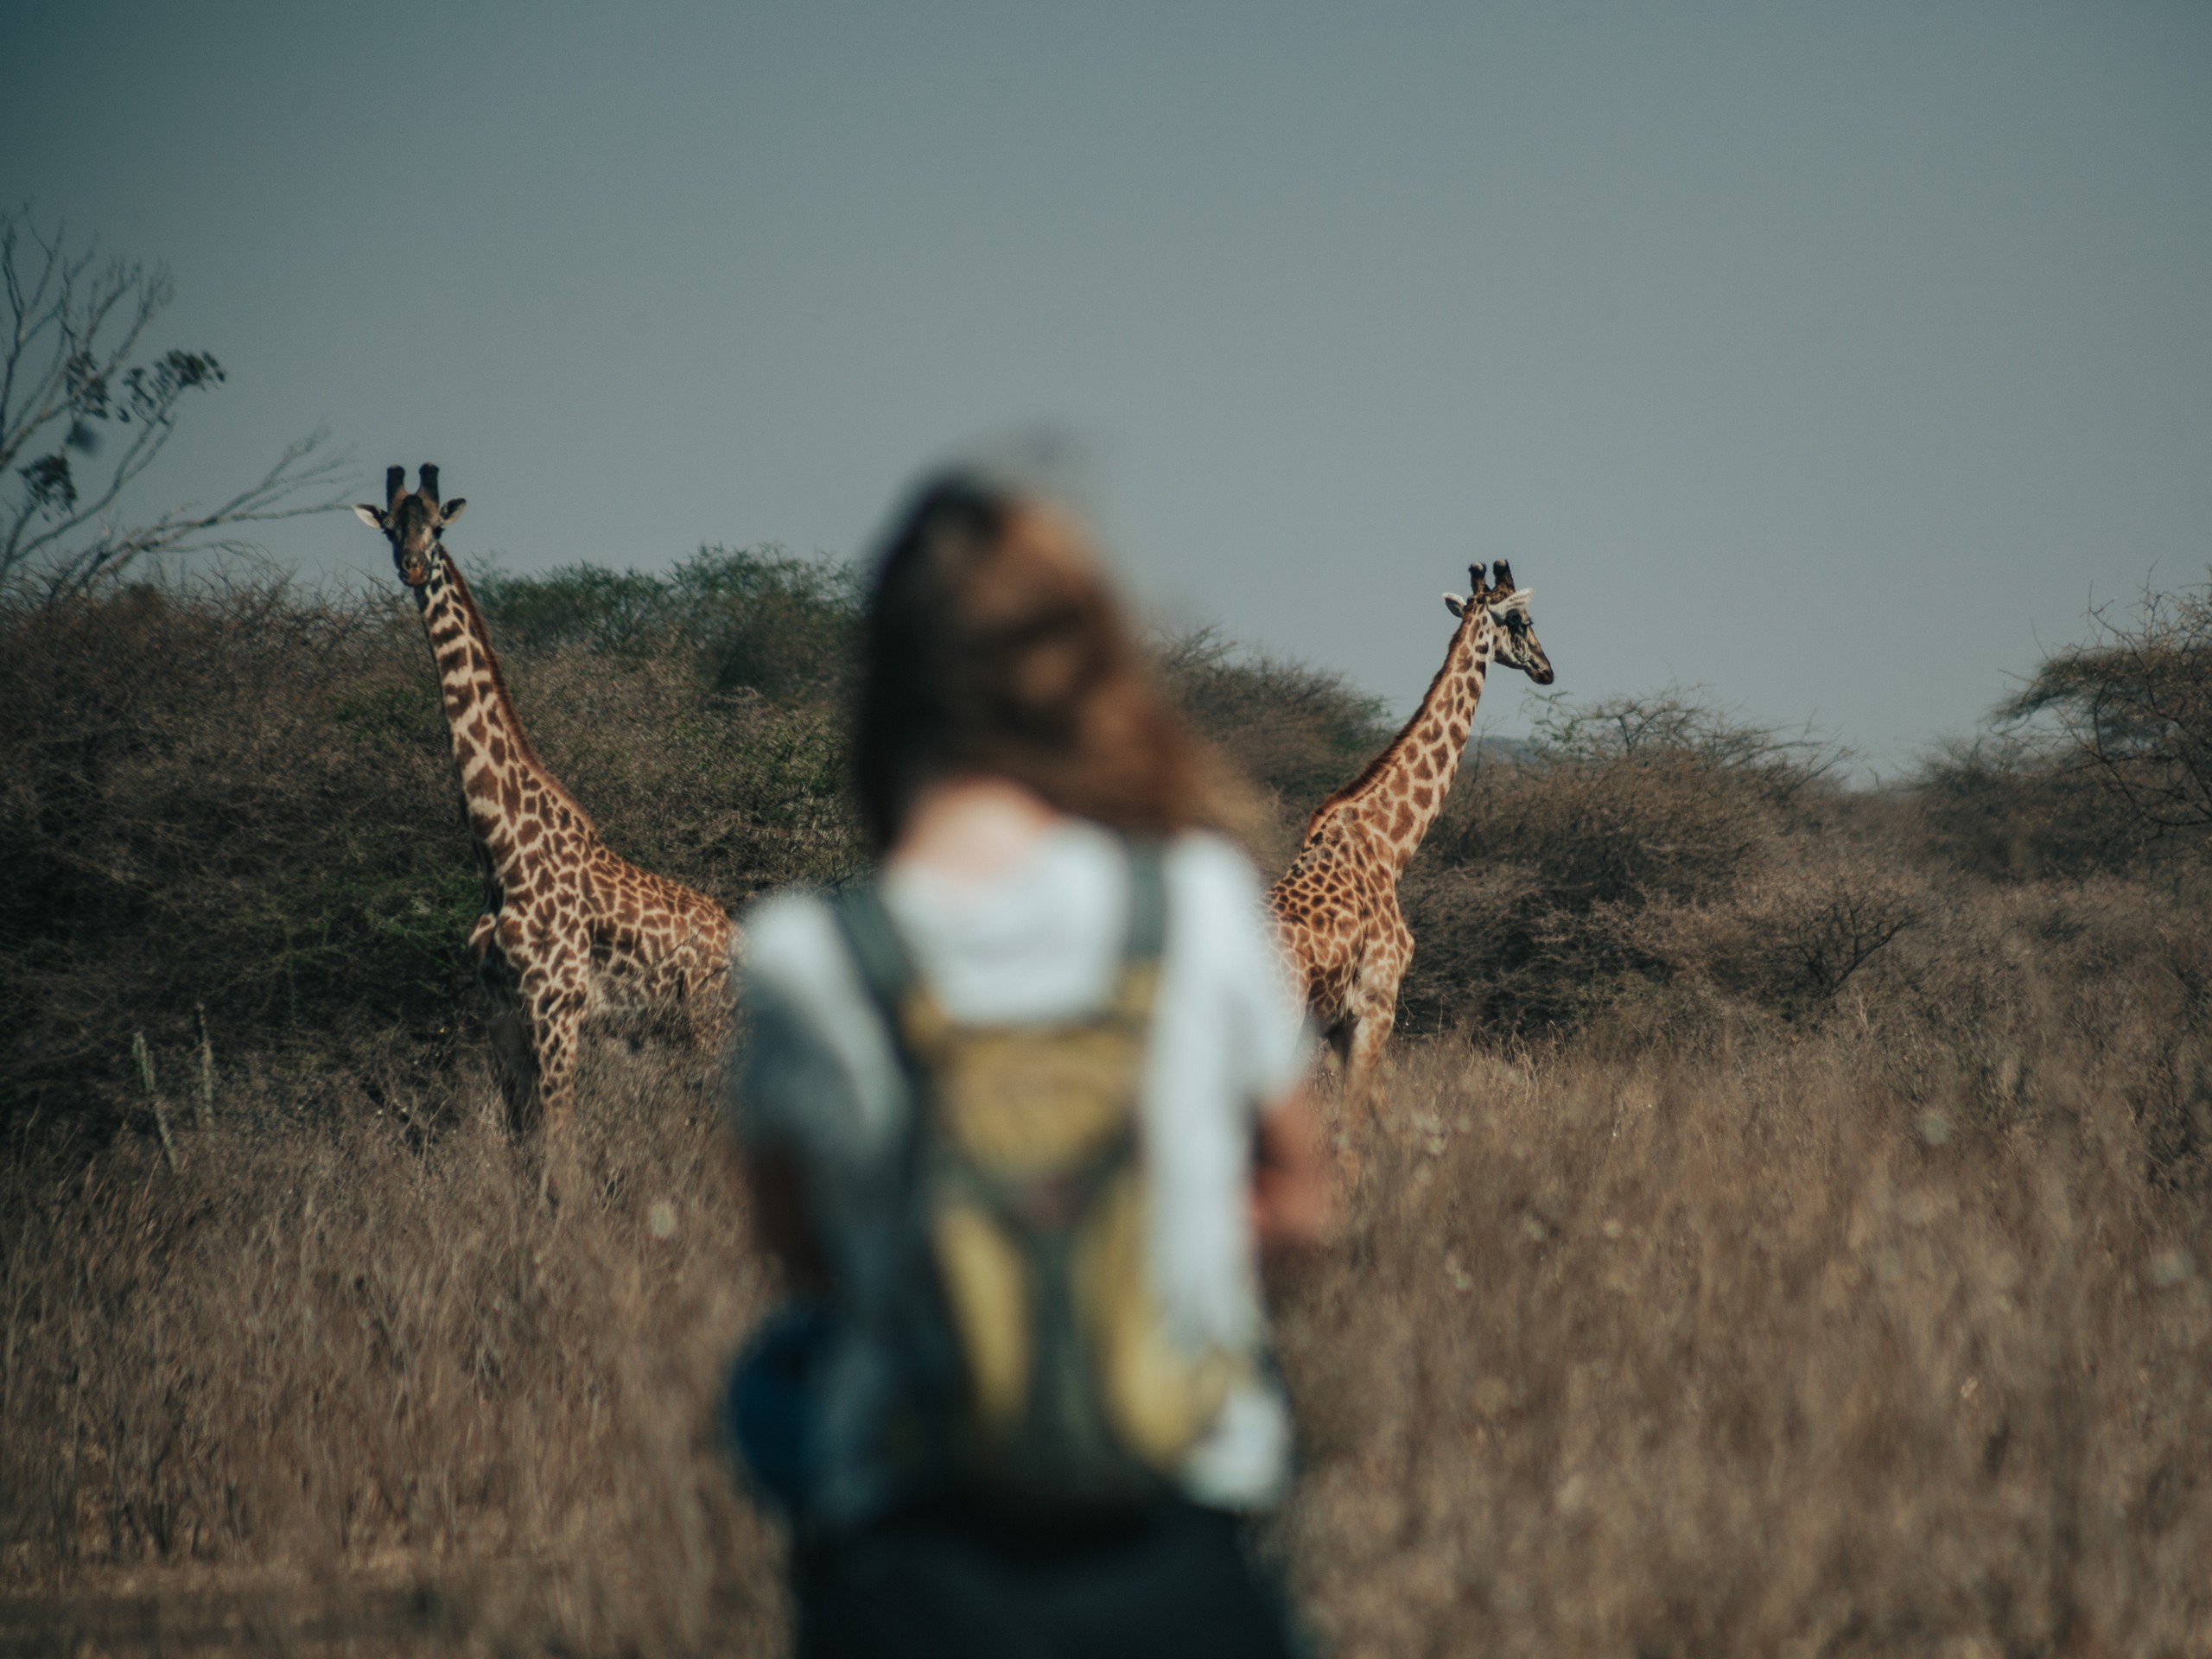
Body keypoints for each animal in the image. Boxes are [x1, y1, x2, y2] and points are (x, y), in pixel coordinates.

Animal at [353, 462, 734, 1176]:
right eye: (391, 528)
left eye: (437, 527)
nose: (413, 567)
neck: (500, 851)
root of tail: (738, 934)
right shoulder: (500, 1012)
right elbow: (522, 1146)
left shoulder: (558, 1009)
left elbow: (557, 1145)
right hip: (672, 1026)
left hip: (710, 1018)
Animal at [1265, 566, 1557, 1150]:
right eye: (1521, 619)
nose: (1547, 669)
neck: (1389, 844)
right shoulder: (1377, 1003)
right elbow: (1352, 1128)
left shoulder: (1343, 1023)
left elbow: (1385, 1118)